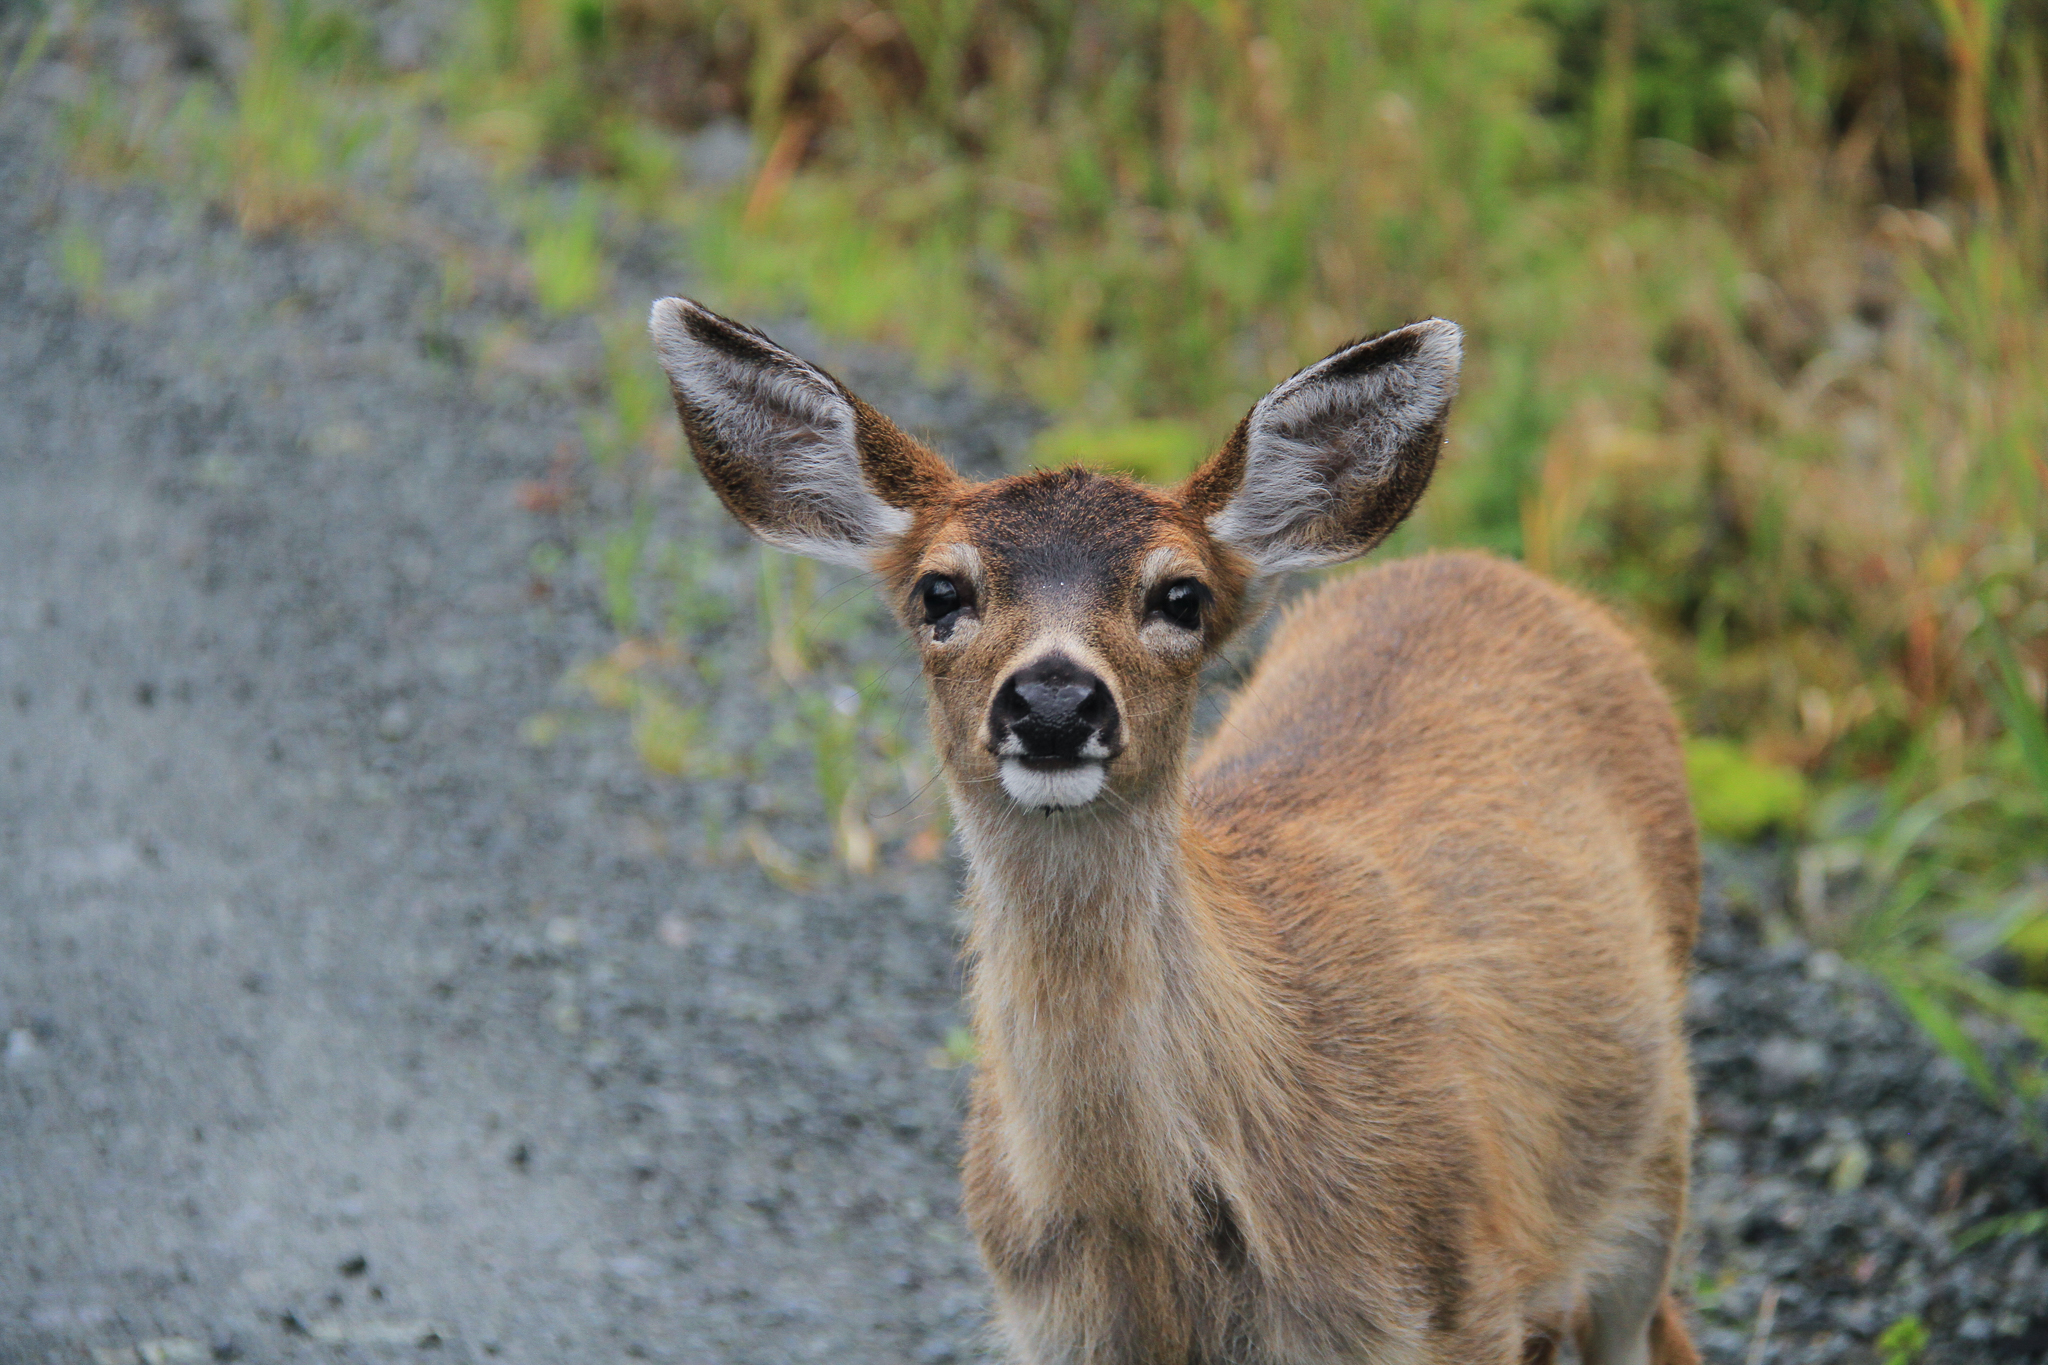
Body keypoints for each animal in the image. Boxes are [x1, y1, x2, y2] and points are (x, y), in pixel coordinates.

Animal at [649, 296, 1702, 1365]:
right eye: (941, 591)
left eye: (1179, 595)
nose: (1054, 699)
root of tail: (1505, 575)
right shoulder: (1052, 1326)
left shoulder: (1453, 1303)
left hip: (1650, 1180)